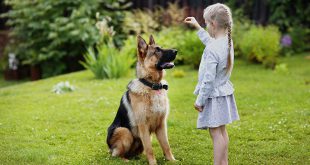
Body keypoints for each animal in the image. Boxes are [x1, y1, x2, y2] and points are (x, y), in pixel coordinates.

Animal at [106, 35, 178, 164]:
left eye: (161, 47)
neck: (153, 86)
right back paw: (126, 160)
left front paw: (172, 160)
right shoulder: (143, 126)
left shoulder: (161, 125)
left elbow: (166, 145)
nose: (176, 51)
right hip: (124, 131)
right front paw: (153, 163)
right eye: (157, 50)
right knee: (117, 155)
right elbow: (150, 148)